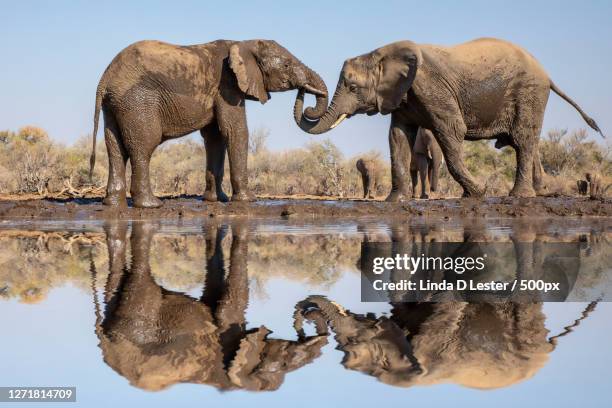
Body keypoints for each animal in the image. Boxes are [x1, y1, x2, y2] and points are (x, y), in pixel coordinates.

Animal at [89, 39, 330, 207]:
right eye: (287, 65)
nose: (305, 96)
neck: (244, 43)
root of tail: (105, 79)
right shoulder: (227, 86)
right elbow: (235, 131)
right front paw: (247, 200)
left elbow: (216, 137)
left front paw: (216, 200)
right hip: (137, 102)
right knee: (143, 146)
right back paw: (151, 205)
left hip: (115, 105)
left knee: (115, 148)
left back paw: (112, 204)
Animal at [91, 223, 328, 392]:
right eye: (285, 363)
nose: (308, 314)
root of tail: (106, 343)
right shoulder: (225, 340)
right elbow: (232, 303)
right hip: (140, 320)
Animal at [296, 37, 604, 200]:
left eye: (352, 87)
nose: (304, 92)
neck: (382, 53)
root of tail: (547, 74)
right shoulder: (401, 95)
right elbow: (397, 137)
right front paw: (395, 201)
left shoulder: (431, 88)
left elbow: (452, 131)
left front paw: (478, 192)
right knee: (522, 143)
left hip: (530, 94)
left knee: (524, 140)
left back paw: (519, 196)